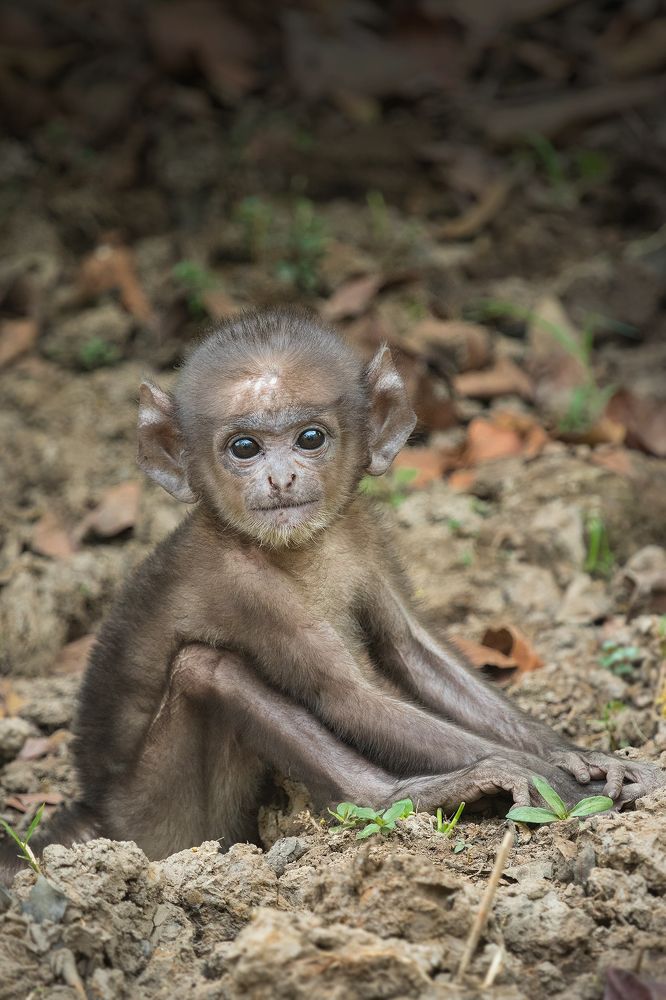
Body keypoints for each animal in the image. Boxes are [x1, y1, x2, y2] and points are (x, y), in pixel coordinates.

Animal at [2, 307, 663, 878]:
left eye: (310, 437)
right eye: (244, 448)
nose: (281, 478)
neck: (300, 549)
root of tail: (99, 816)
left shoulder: (364, 533)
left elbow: (413, 652)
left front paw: (586, 756)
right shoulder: (247, 585)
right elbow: (348, 698)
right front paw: (563, 783)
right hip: (163, 821)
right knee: (207, 669)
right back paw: (406, 795)